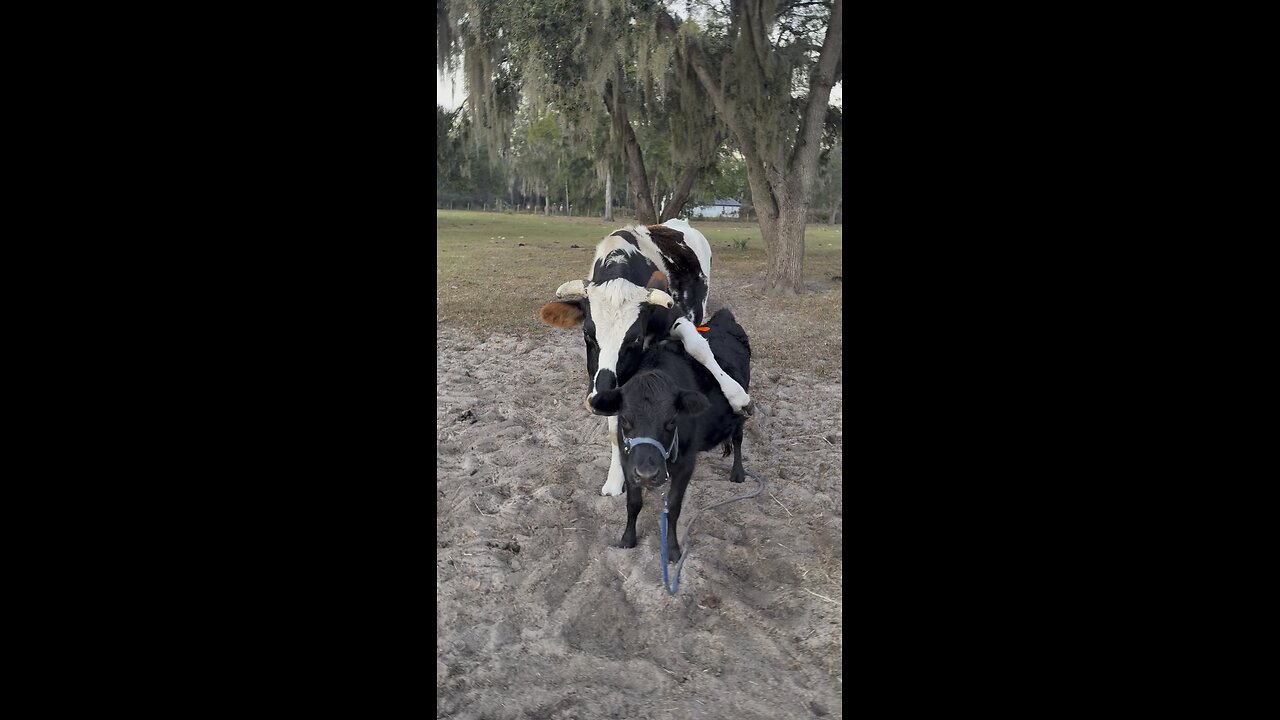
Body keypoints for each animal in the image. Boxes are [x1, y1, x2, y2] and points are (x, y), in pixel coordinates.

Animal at [539, 218, 753, 498]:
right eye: (587, 333)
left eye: (635, 338)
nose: (596, 397)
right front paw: (615, 479)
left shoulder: (674, 317)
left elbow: (699, 348)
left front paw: (737, 396)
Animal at [585, 308, 751, 560]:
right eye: (624, 419)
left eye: (672, 420)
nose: (647, 473)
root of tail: (724, 317)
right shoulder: (628, 460)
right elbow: (633, 503)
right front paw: (627, 539)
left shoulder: (686, 465)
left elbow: (673, 506)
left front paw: (672, 550)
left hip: (740, 412)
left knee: (738, 437)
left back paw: (738, 473)